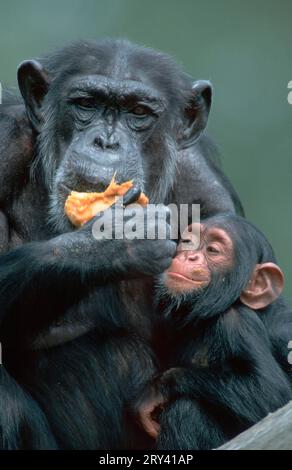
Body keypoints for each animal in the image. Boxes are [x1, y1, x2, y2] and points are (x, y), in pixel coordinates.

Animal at [0, 39, 242, 448]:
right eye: (86, 104)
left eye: (138, 112)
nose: (106, 142)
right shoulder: (4, 142)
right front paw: (117, 241)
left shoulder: (211, 194)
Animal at [138, 215, 292, 450]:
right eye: (189, 241)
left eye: (212, 250)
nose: (189, 256)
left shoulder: (235, 322)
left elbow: (269, 392)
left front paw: (157, 390)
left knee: (185, 412)